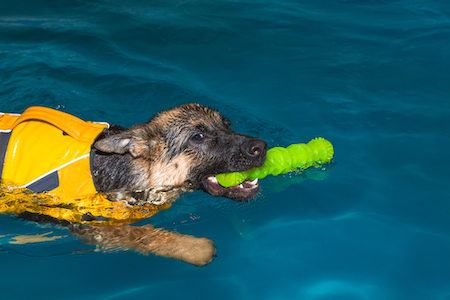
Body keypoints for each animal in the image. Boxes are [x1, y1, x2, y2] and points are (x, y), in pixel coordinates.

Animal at [0, 104, 266, 266]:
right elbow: (142, 234)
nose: (261, 148)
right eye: (197, 137)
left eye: (227, 125)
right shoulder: (88, 223)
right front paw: (193, 247)